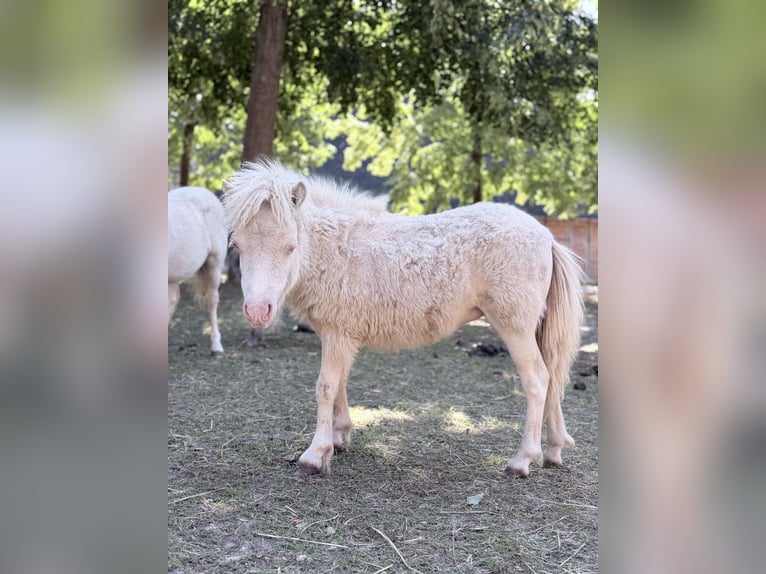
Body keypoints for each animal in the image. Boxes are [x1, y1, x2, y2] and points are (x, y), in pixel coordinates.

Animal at [222, 160, 584, 477]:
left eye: (290, 246)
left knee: (537, 380)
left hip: (515, 326)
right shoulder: (337, 332)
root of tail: (546, 236)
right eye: (237, 245)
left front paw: (315, 454)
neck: (334, 248)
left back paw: (522, 460)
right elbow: (339, 384)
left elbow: (325, 387)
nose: (257, 310)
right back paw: (554, 450)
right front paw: (339, 439)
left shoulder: (338, 333)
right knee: (552, 375)